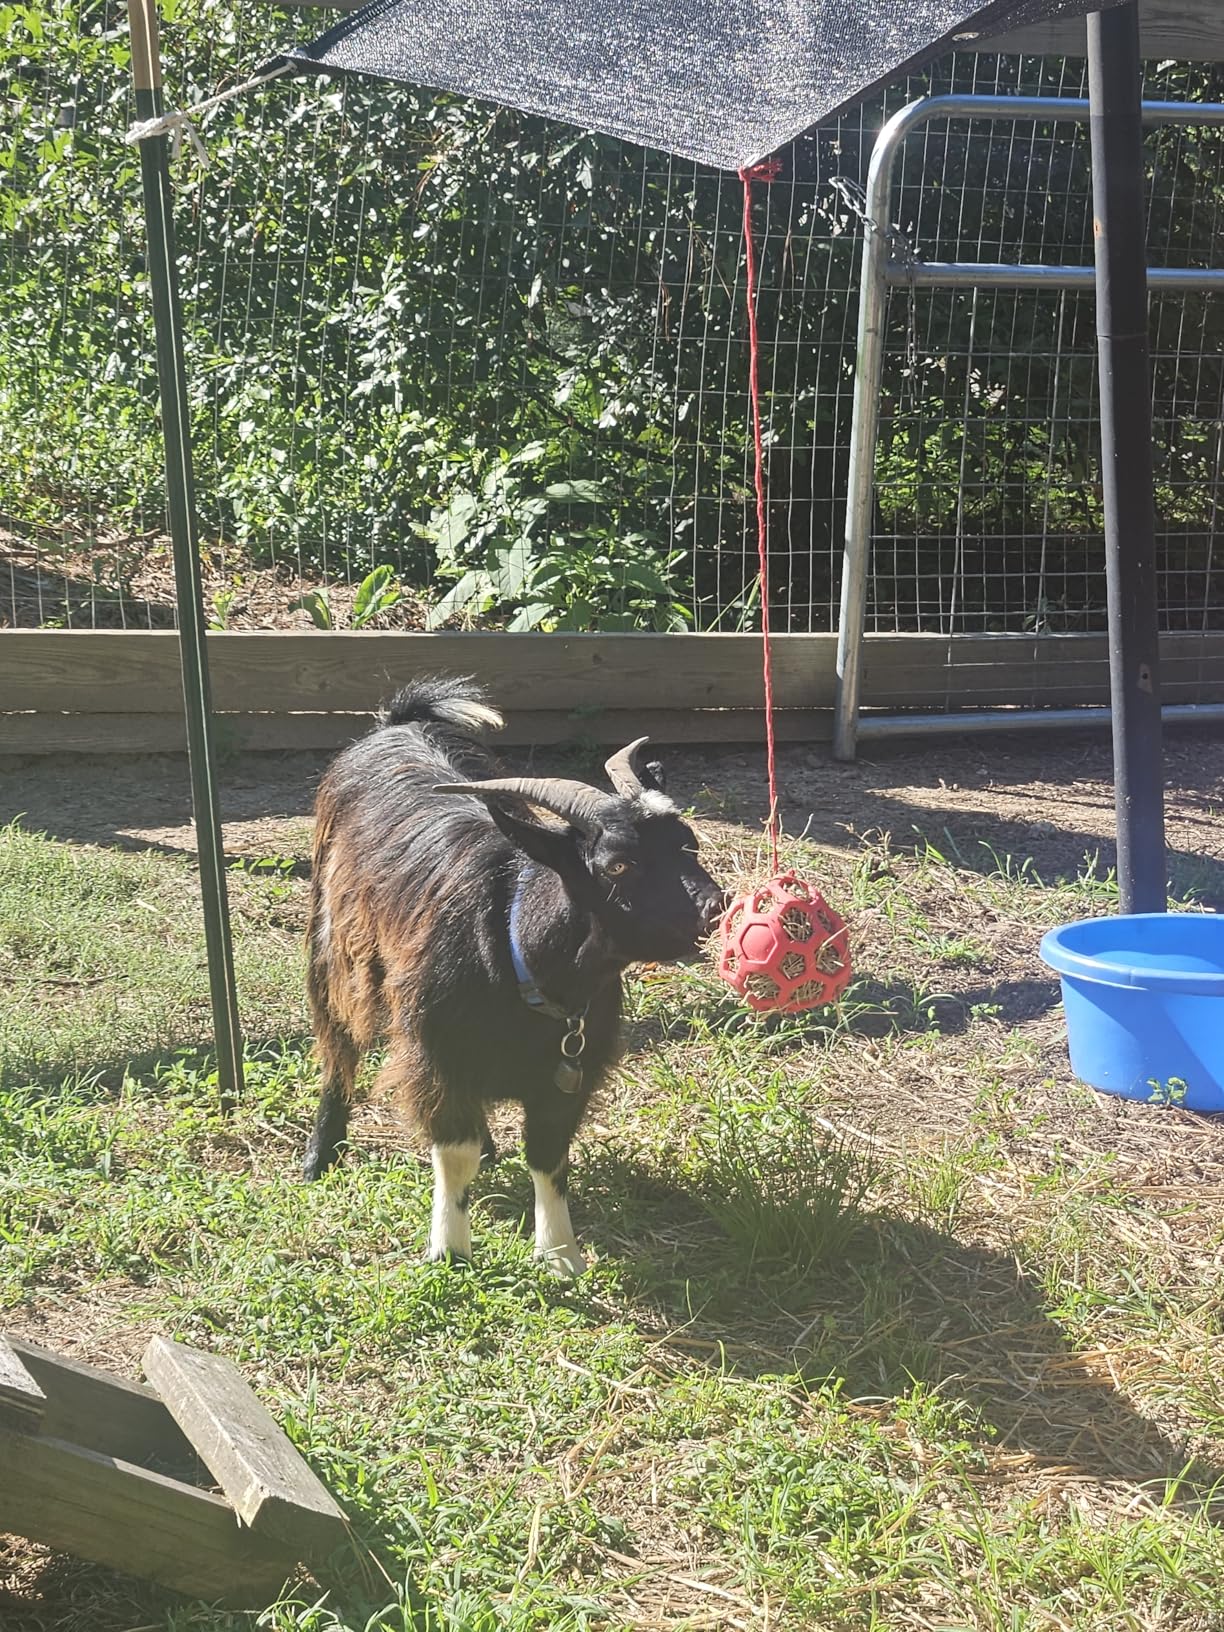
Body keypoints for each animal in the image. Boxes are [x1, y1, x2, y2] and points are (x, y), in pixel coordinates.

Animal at [303, 675, 724, 1276]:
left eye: (688, 843)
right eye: (618, 865)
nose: (714, 908)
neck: (513, 945)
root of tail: (399, 721)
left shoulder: (569, 1073)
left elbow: (548, 1155)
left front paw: (561, 1255)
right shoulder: (435, 1054)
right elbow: (452, 1154)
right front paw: (449, 1251)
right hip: (333, 941)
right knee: (338, 1042)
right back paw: (322, 1153)